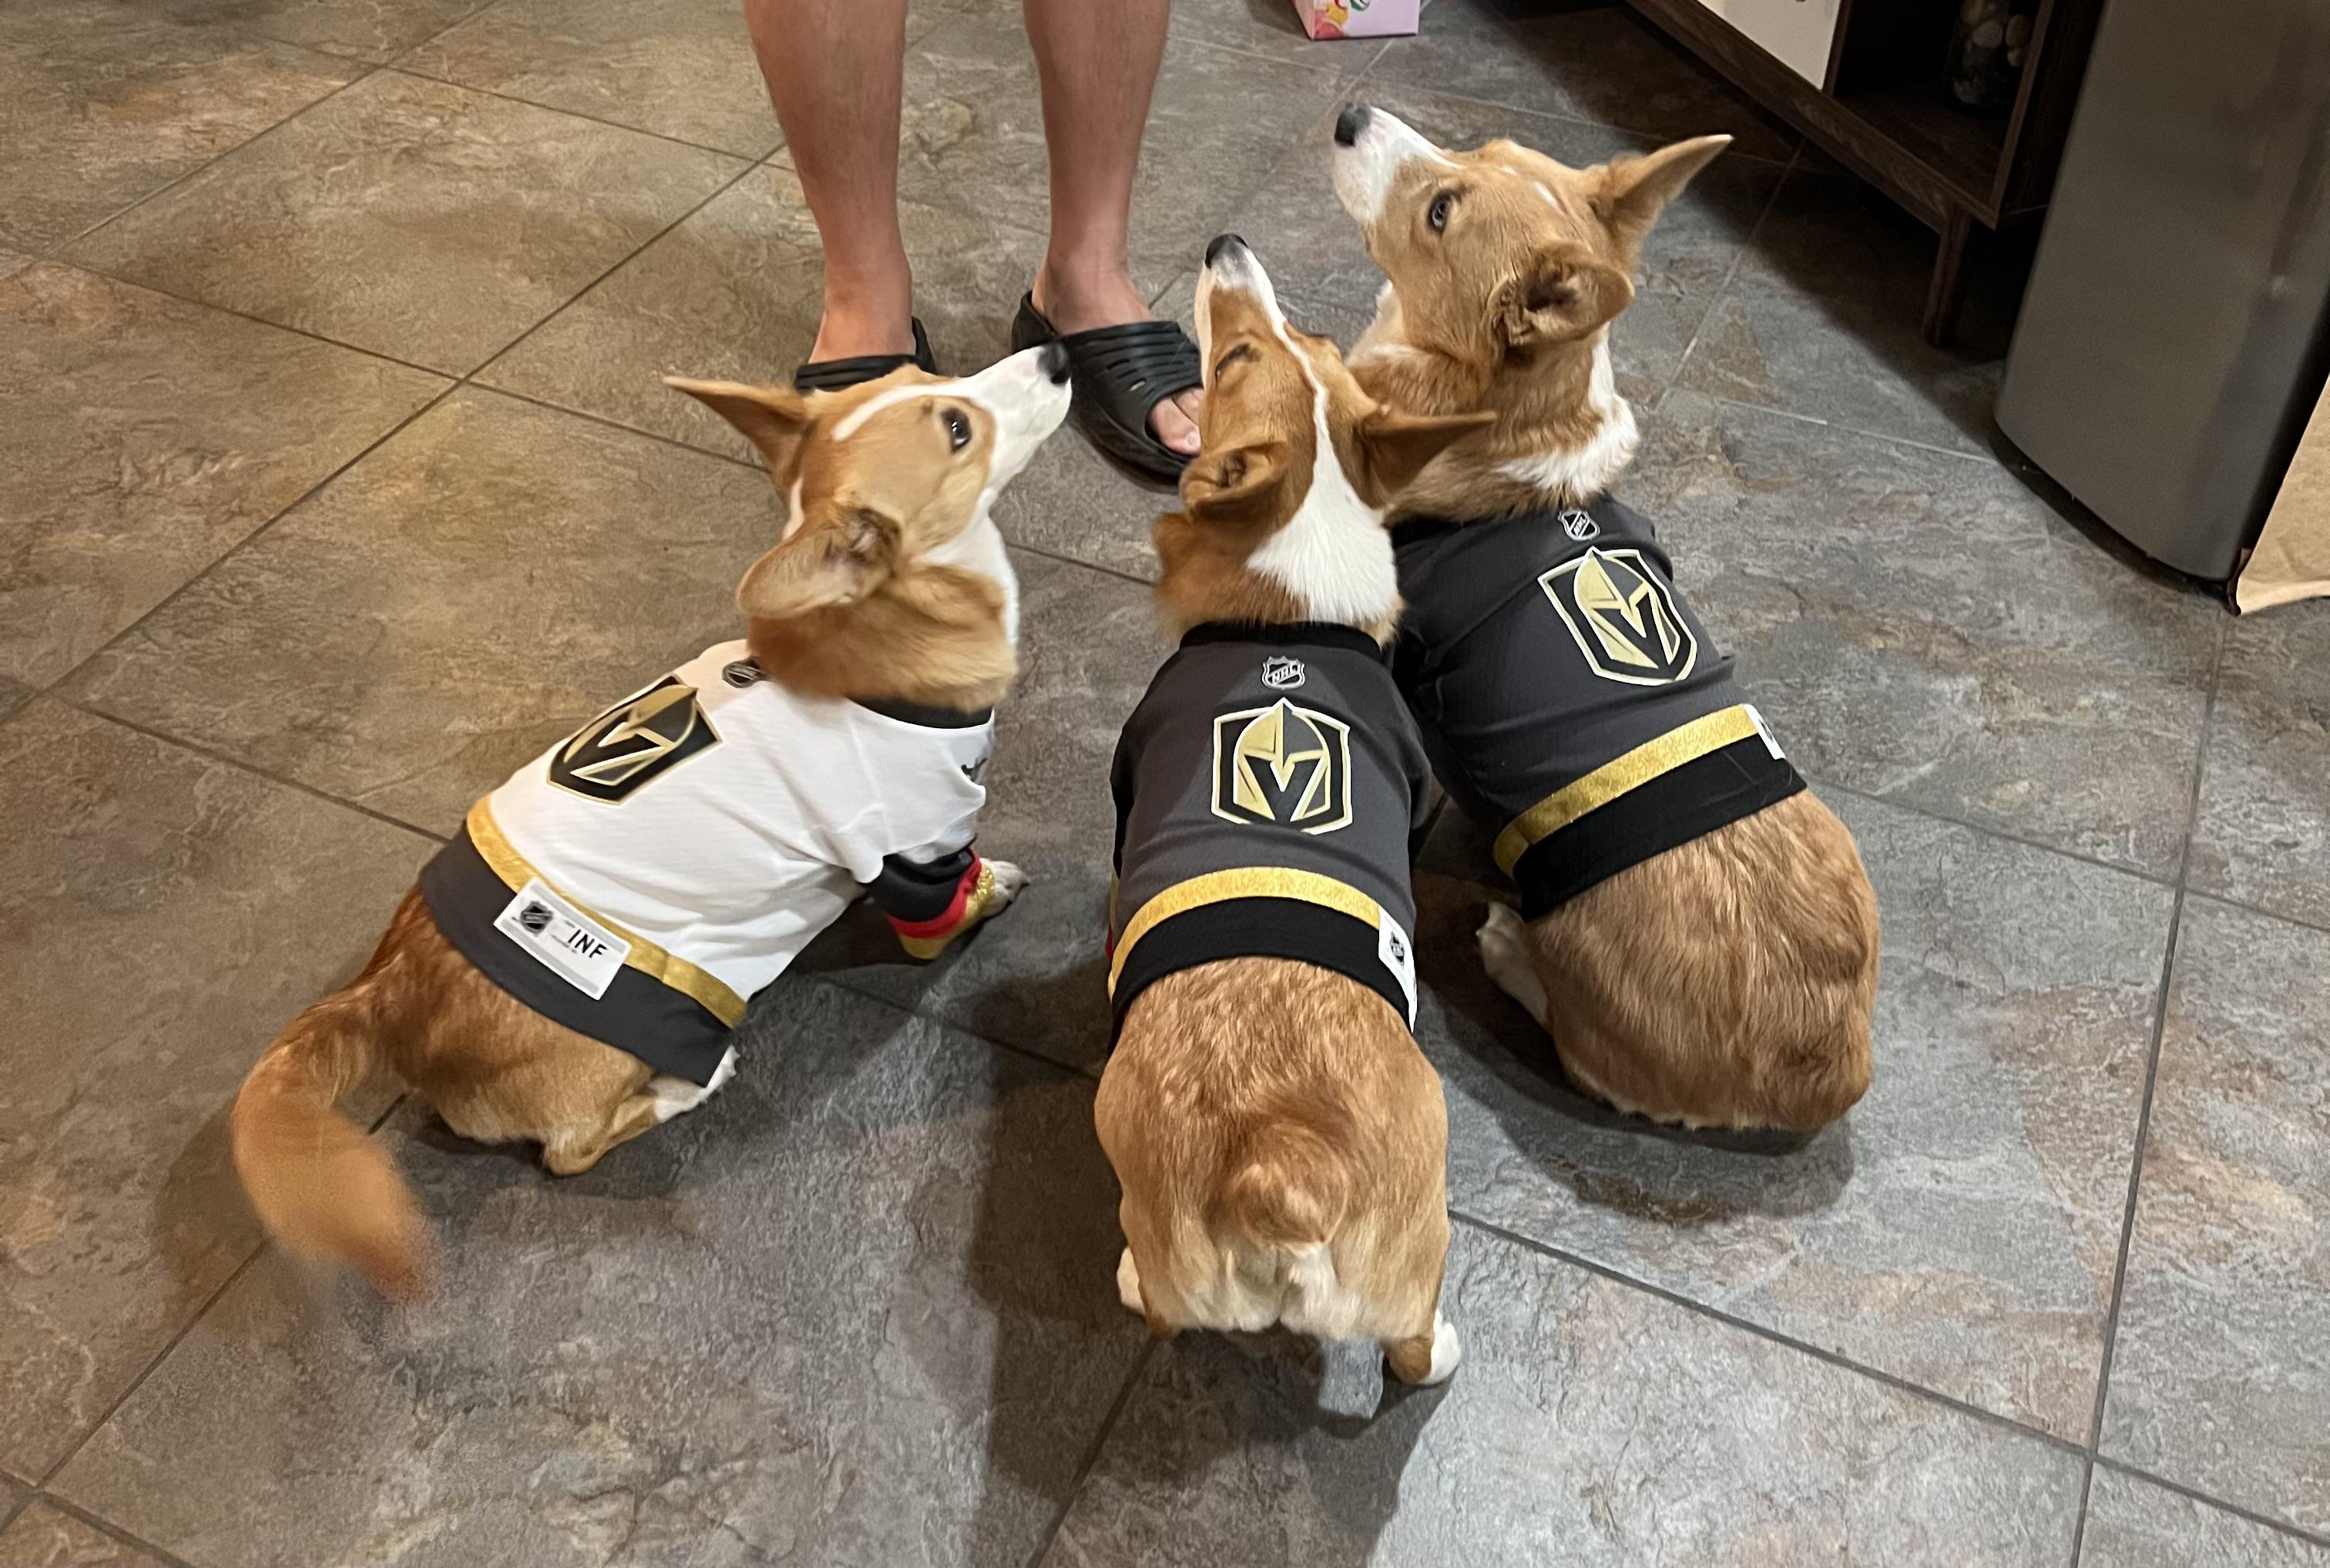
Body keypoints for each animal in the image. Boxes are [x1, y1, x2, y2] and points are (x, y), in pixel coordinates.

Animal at [230, 345, 1073, 1297]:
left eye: (920, 373)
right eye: (959, 429)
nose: (1058, 354)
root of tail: (386, 992)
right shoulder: (924, 836)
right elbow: (950, 897)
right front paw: (991, 893)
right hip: (656, 1022)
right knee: (570, 1150)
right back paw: (686, 1088)